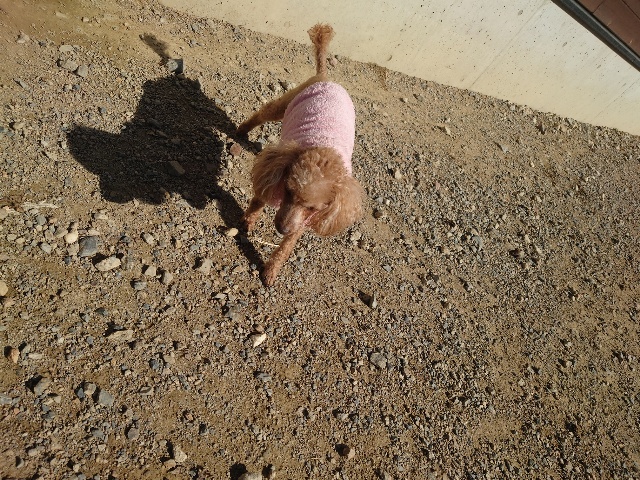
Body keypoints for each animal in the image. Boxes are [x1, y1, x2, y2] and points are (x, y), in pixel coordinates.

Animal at [237, 24, 363, 286]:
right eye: (288, 190)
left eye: (313, 208)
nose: (281, 229)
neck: (324, 149)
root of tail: (326, 78)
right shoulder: (274, 171)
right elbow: (258, 199)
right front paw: (247, 221)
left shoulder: (305, 220)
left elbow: (288, 245)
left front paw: (271, 270)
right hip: (286, 103)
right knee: (264, 112)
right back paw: (242, 130)